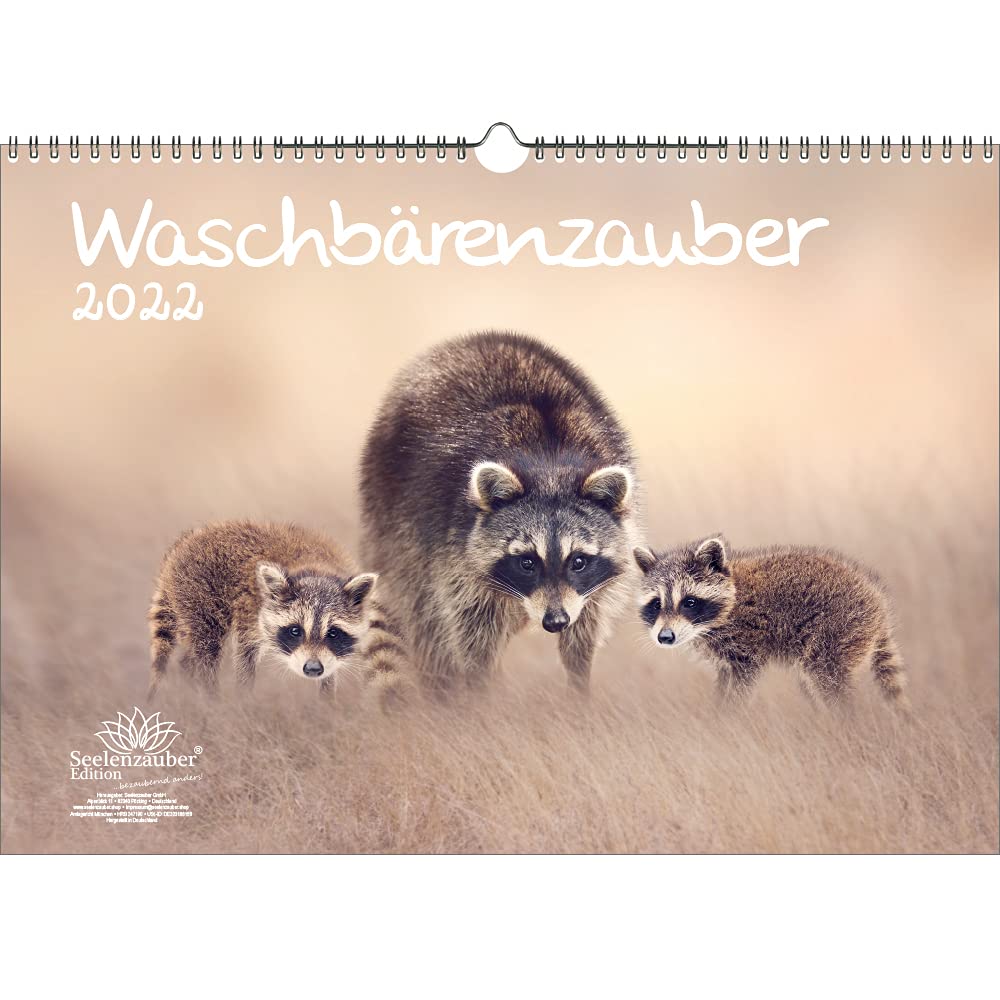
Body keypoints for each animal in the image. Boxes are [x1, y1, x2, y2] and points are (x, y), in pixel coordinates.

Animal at [147, 520, 408, 706]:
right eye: (295, 631)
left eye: (333, 633)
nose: (312, 669)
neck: (316, 570)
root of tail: (187, 541)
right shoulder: (251, 610)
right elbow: (245, 655)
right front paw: (243, 699)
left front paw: (326, 703)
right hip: (198, 592)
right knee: (206, 644)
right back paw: (207, 693)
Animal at [360, 331, 641, 692]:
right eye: (527, 562)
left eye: (578, 561)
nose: (555, 621)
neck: (549, 465)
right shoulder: (452, 552)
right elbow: (470, 634)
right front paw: (480, 694)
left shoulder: (591, 587)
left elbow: (584, 631)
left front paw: (579, 687)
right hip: (391, 515)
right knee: (427, 621)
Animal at [634, 536, 909, 708]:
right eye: (656, 604)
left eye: (689, 602)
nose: (665, 637)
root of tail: (877, 602)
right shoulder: (724, 659)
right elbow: (724, 679)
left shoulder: (747, 641)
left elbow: (743, 682)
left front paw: (728, 718)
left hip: (839, 627)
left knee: (827, 676)